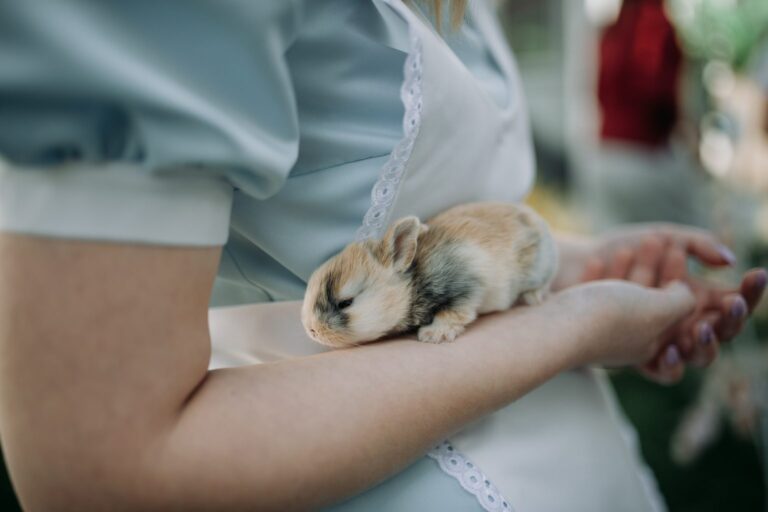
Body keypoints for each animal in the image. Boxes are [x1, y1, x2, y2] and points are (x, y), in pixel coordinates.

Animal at [301, 202, 559, 348]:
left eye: (346, 303)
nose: (312, 330)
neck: (413, 282)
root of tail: (537, 220)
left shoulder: (467, 285)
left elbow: (454, 312)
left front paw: (434, 334)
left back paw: (533, 297)